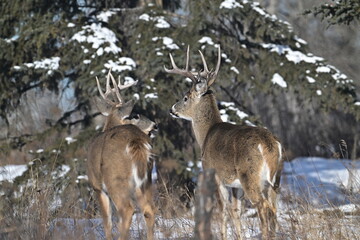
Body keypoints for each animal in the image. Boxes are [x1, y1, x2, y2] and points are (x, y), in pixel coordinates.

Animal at [88, 71, 157, 240]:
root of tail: (135, 141)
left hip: (115, 179)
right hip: (145, 180)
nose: (155, 125)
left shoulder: (97, 186)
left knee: (126, 211)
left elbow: (107, 222)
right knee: (149, 210)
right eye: (135, 115)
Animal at [165, 46, 282, 239]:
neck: (206, 134)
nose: (171, 109)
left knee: (263, 207)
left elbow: (223, 210)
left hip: (250, 176)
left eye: (185, 97)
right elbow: (236, 211)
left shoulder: (215, 174)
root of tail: (269, 144)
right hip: (275, 180)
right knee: (273, 208)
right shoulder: (235, 185)